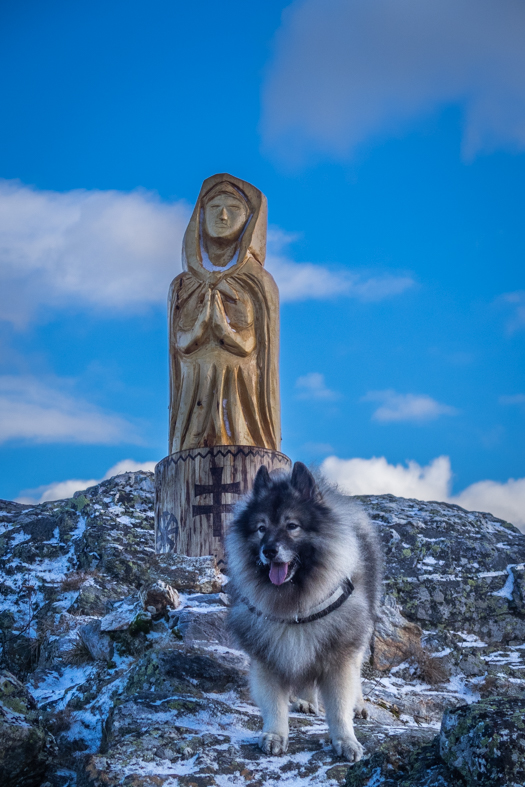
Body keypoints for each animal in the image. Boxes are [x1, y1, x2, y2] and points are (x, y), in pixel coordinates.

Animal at [225, 462, 380, 764]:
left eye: (292, 526)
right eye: (261, 528)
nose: (269, 550)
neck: (296, 606)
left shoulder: (340, 657)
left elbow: (340, 707)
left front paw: (345, 740)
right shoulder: (268, 658)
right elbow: (274, 705)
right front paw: (275, 735)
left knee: (357, 674)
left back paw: (359, 705)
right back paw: (307, 700)